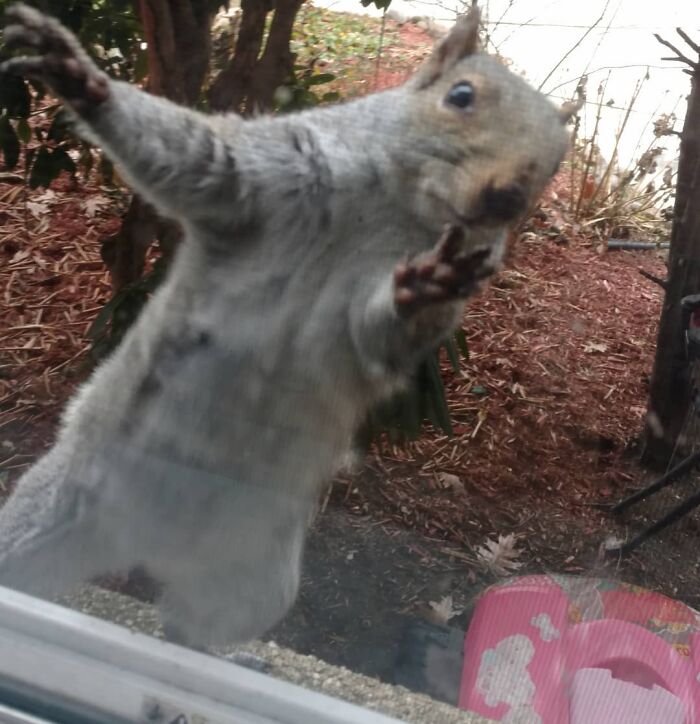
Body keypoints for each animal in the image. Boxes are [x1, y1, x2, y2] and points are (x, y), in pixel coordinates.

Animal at [0, 4, 576, 649]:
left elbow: (380, 337)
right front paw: (80, 79)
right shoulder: (266, 169)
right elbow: (198, 158)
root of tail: (140, 545)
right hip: (53, 511)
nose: (507, 197)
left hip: (253, 581)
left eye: (560, 158)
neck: (388, 207)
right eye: (460, 95)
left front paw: (425, 290)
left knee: (194, 621)